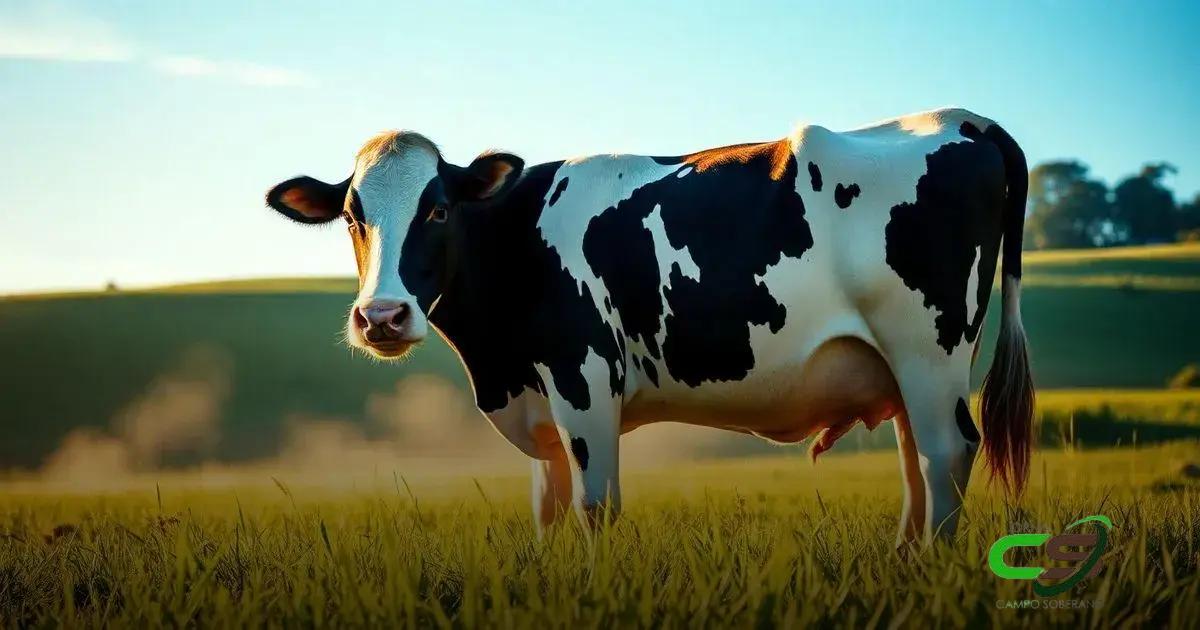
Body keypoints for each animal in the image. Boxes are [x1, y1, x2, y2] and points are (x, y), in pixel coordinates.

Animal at [265, 107, 1033, 543]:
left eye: (438, 209)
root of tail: (963, 119)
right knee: (917, 463)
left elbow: (595, 507)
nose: (381, 317)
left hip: (928, 348)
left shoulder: (583, 378)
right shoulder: (541, 402)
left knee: (946, 453)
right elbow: (547, 510)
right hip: (902, 367)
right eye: (351, 216)